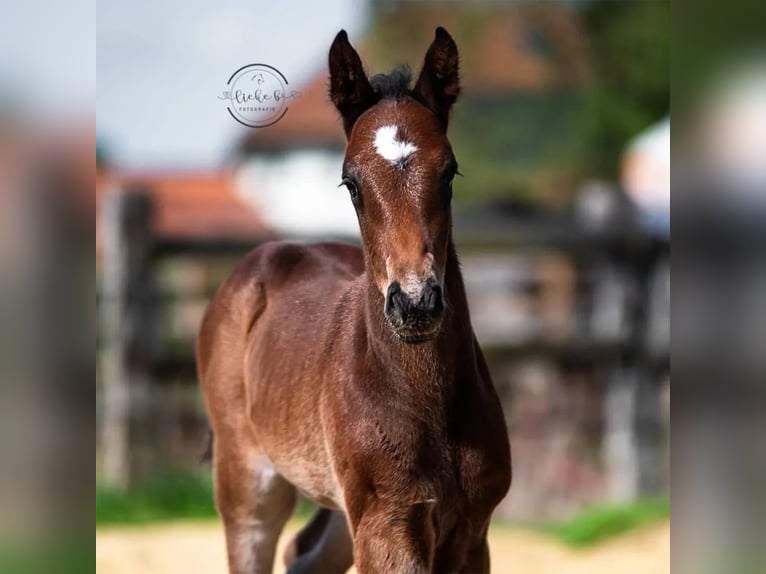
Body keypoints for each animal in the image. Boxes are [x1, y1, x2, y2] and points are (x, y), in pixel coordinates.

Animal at [198, 29, 512, 572]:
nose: (415, 304)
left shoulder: (472, 533)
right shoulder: (389, 525)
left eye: (449, 173)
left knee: (305, 555)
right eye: (351, 183)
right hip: (251, 489)